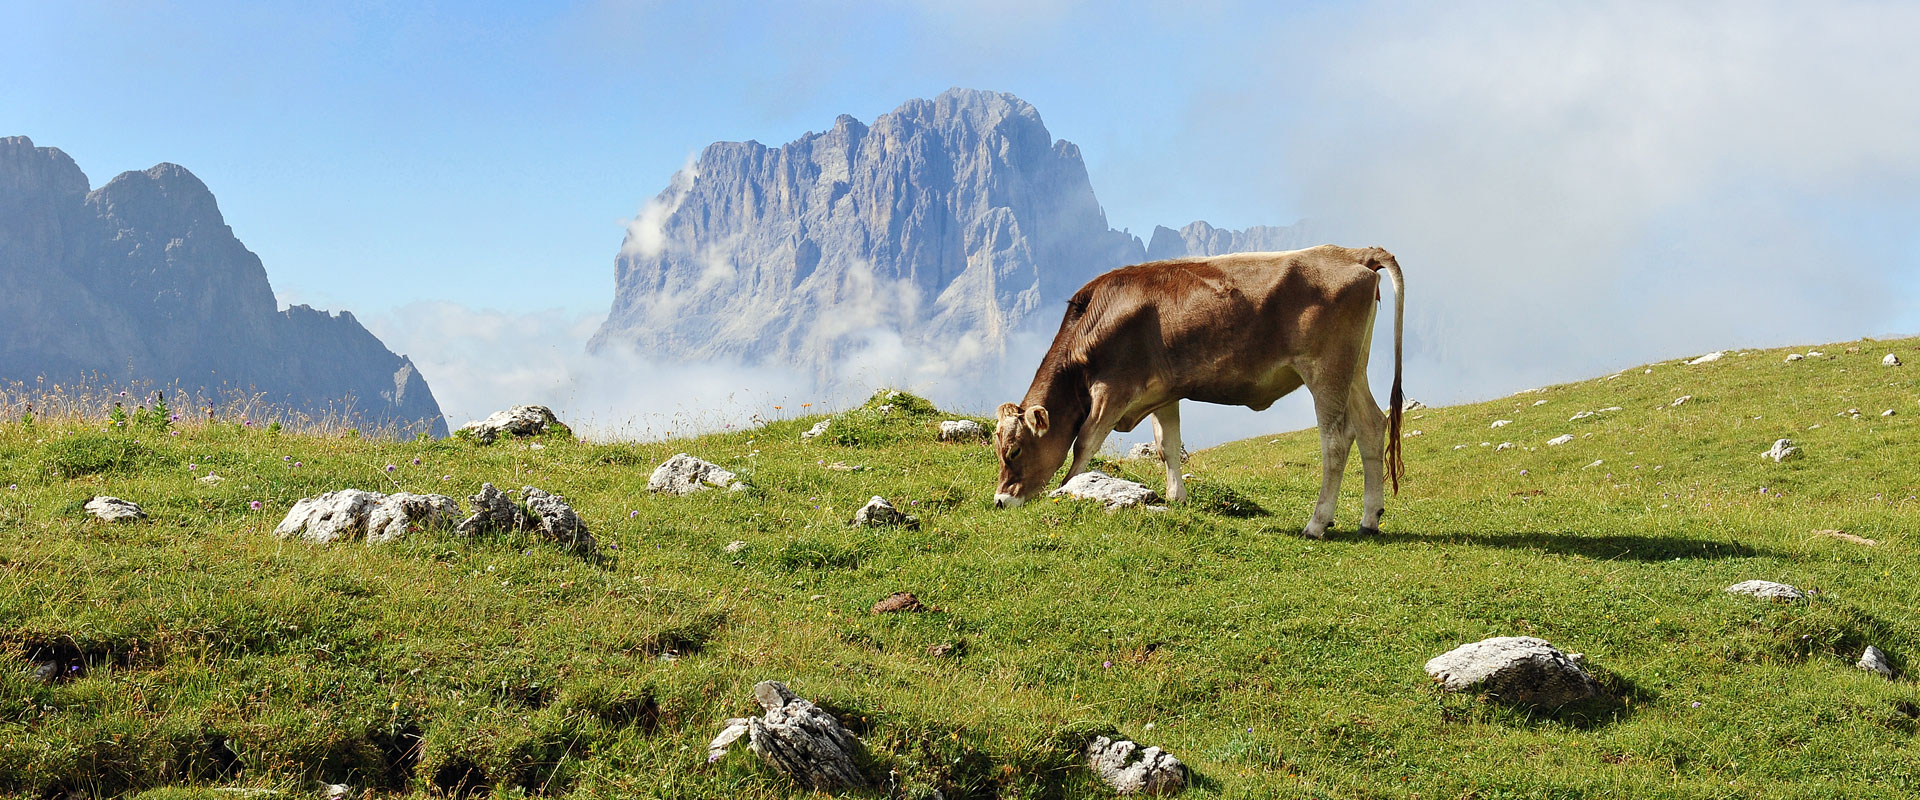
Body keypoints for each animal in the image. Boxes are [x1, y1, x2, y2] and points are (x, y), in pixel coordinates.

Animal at [998, 245, 1405, 541]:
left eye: (1015, 450)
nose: (1000, 500)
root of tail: (1351, 252)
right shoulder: (1162, 392)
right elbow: (1167, 445)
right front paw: (1176, 498)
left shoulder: (1112, 390)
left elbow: (1084, 445)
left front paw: (1067, 490)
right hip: (1354, 369)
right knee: (1371, 425)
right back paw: (1370, 518)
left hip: (1326, 370)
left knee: (1335, 439)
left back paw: (1317, 523)